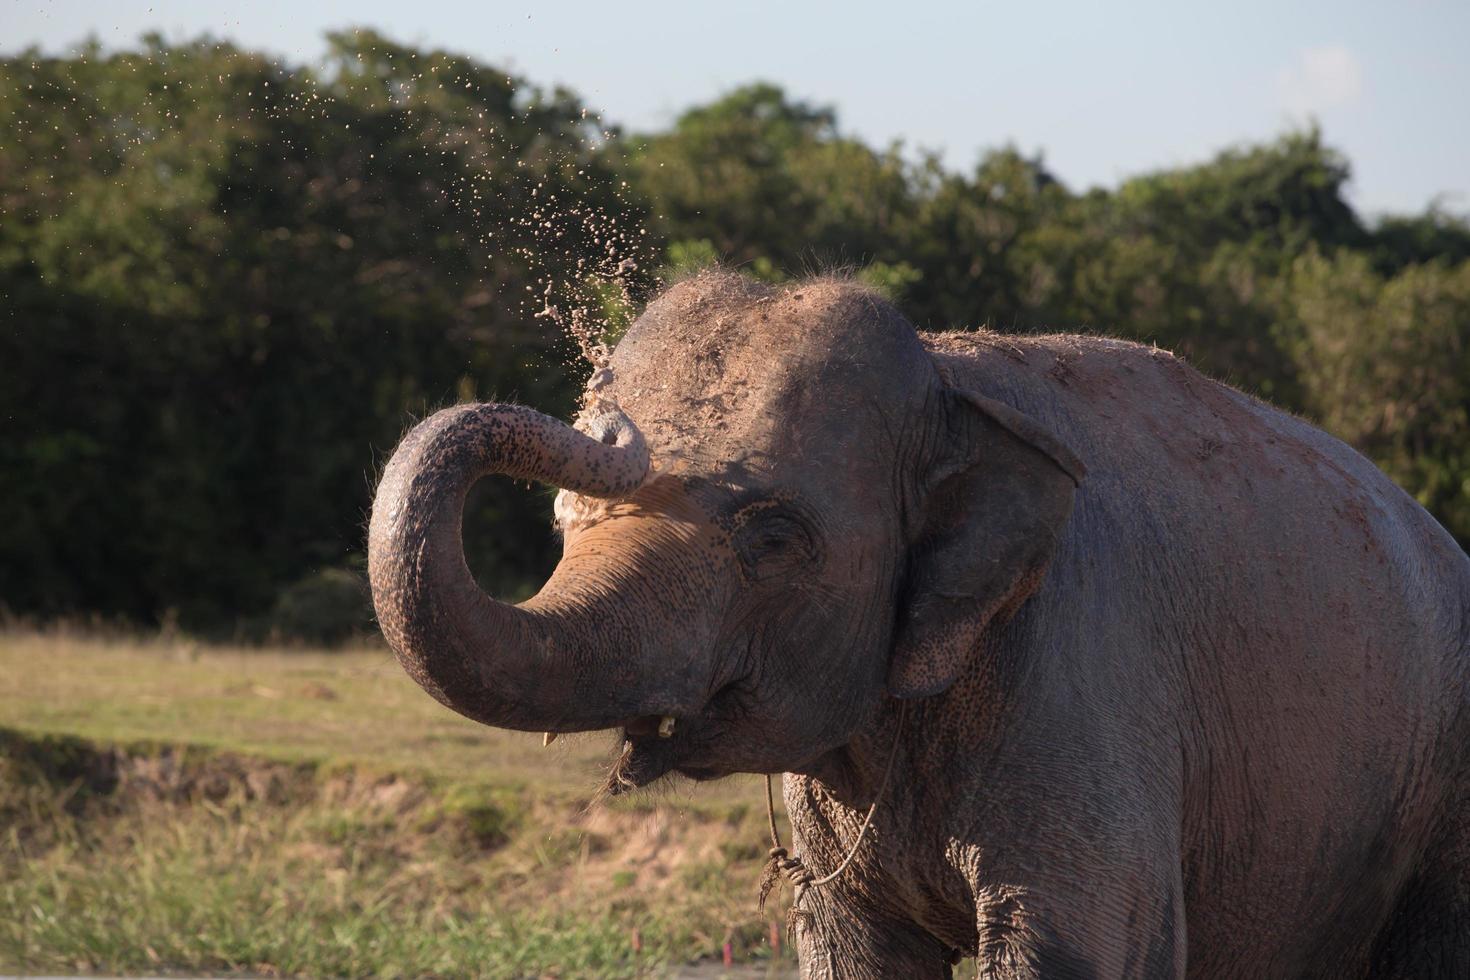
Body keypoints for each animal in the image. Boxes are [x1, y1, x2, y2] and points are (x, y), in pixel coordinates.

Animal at [368, 270, 1470, 978]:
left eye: (772, 536)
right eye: (565, 522)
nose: (604, 422)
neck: (949, 380)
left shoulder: (1087, 677)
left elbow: (1075, 947)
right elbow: (852, 946)